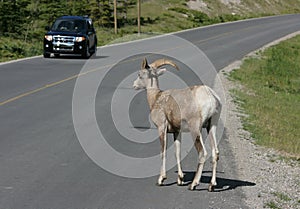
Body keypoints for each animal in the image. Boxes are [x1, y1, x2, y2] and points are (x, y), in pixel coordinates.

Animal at [132, 58, 221, 192]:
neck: (156, 98)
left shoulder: (161, 128)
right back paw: (211, 185)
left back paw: (193, 184)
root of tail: (211, 98)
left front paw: (161, 179)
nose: (134, 85)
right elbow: (177, 153)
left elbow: (163, 152)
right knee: (215, 153)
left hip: (195, 129)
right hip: (211, 126)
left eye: (139, 74)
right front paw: (180, 179)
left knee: (203, 153)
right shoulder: (176, 132)